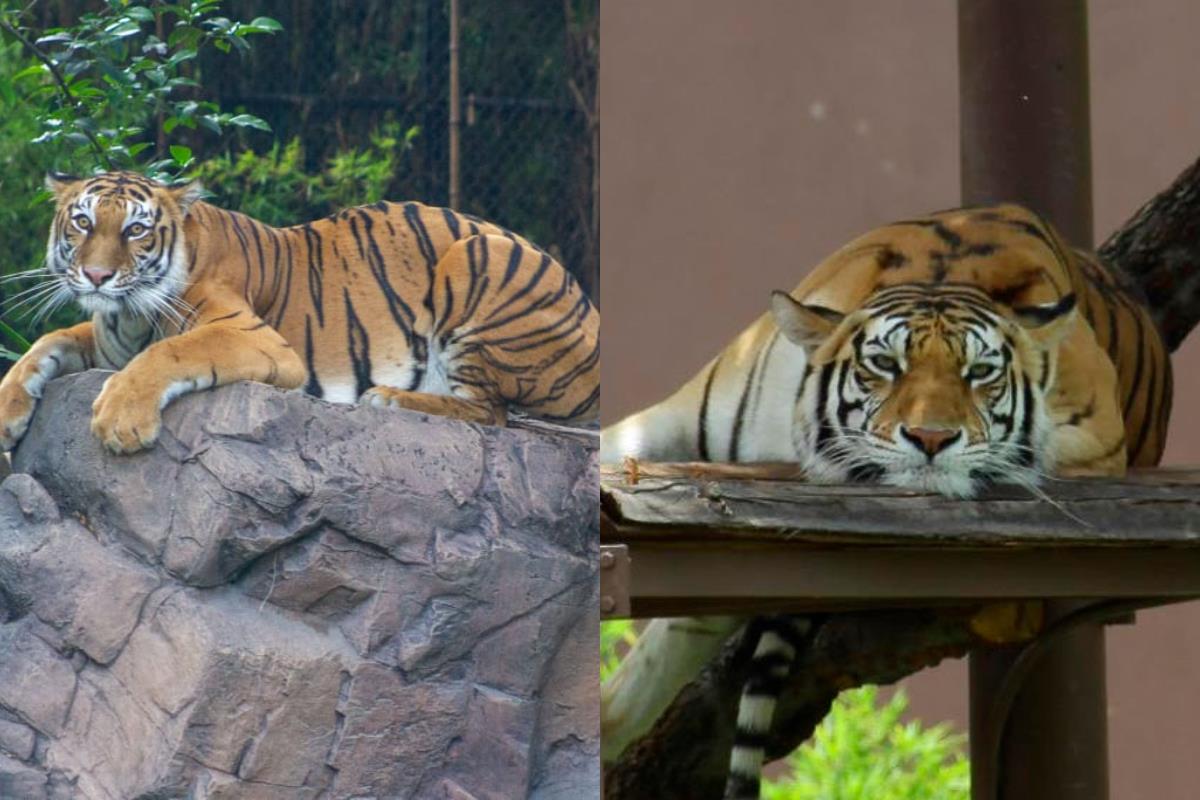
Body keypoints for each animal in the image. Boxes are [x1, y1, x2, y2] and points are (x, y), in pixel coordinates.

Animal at [0, 170, 600, 455]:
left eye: (136, 229)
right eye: (83, 222)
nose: (97, 276)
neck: (125, 315)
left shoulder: (252, 335)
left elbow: (168, 353)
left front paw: (121, 421)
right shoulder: (104, 341)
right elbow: (46, 343)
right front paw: (8, 412)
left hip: (479, 254)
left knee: (491, 413)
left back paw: (389, 398)